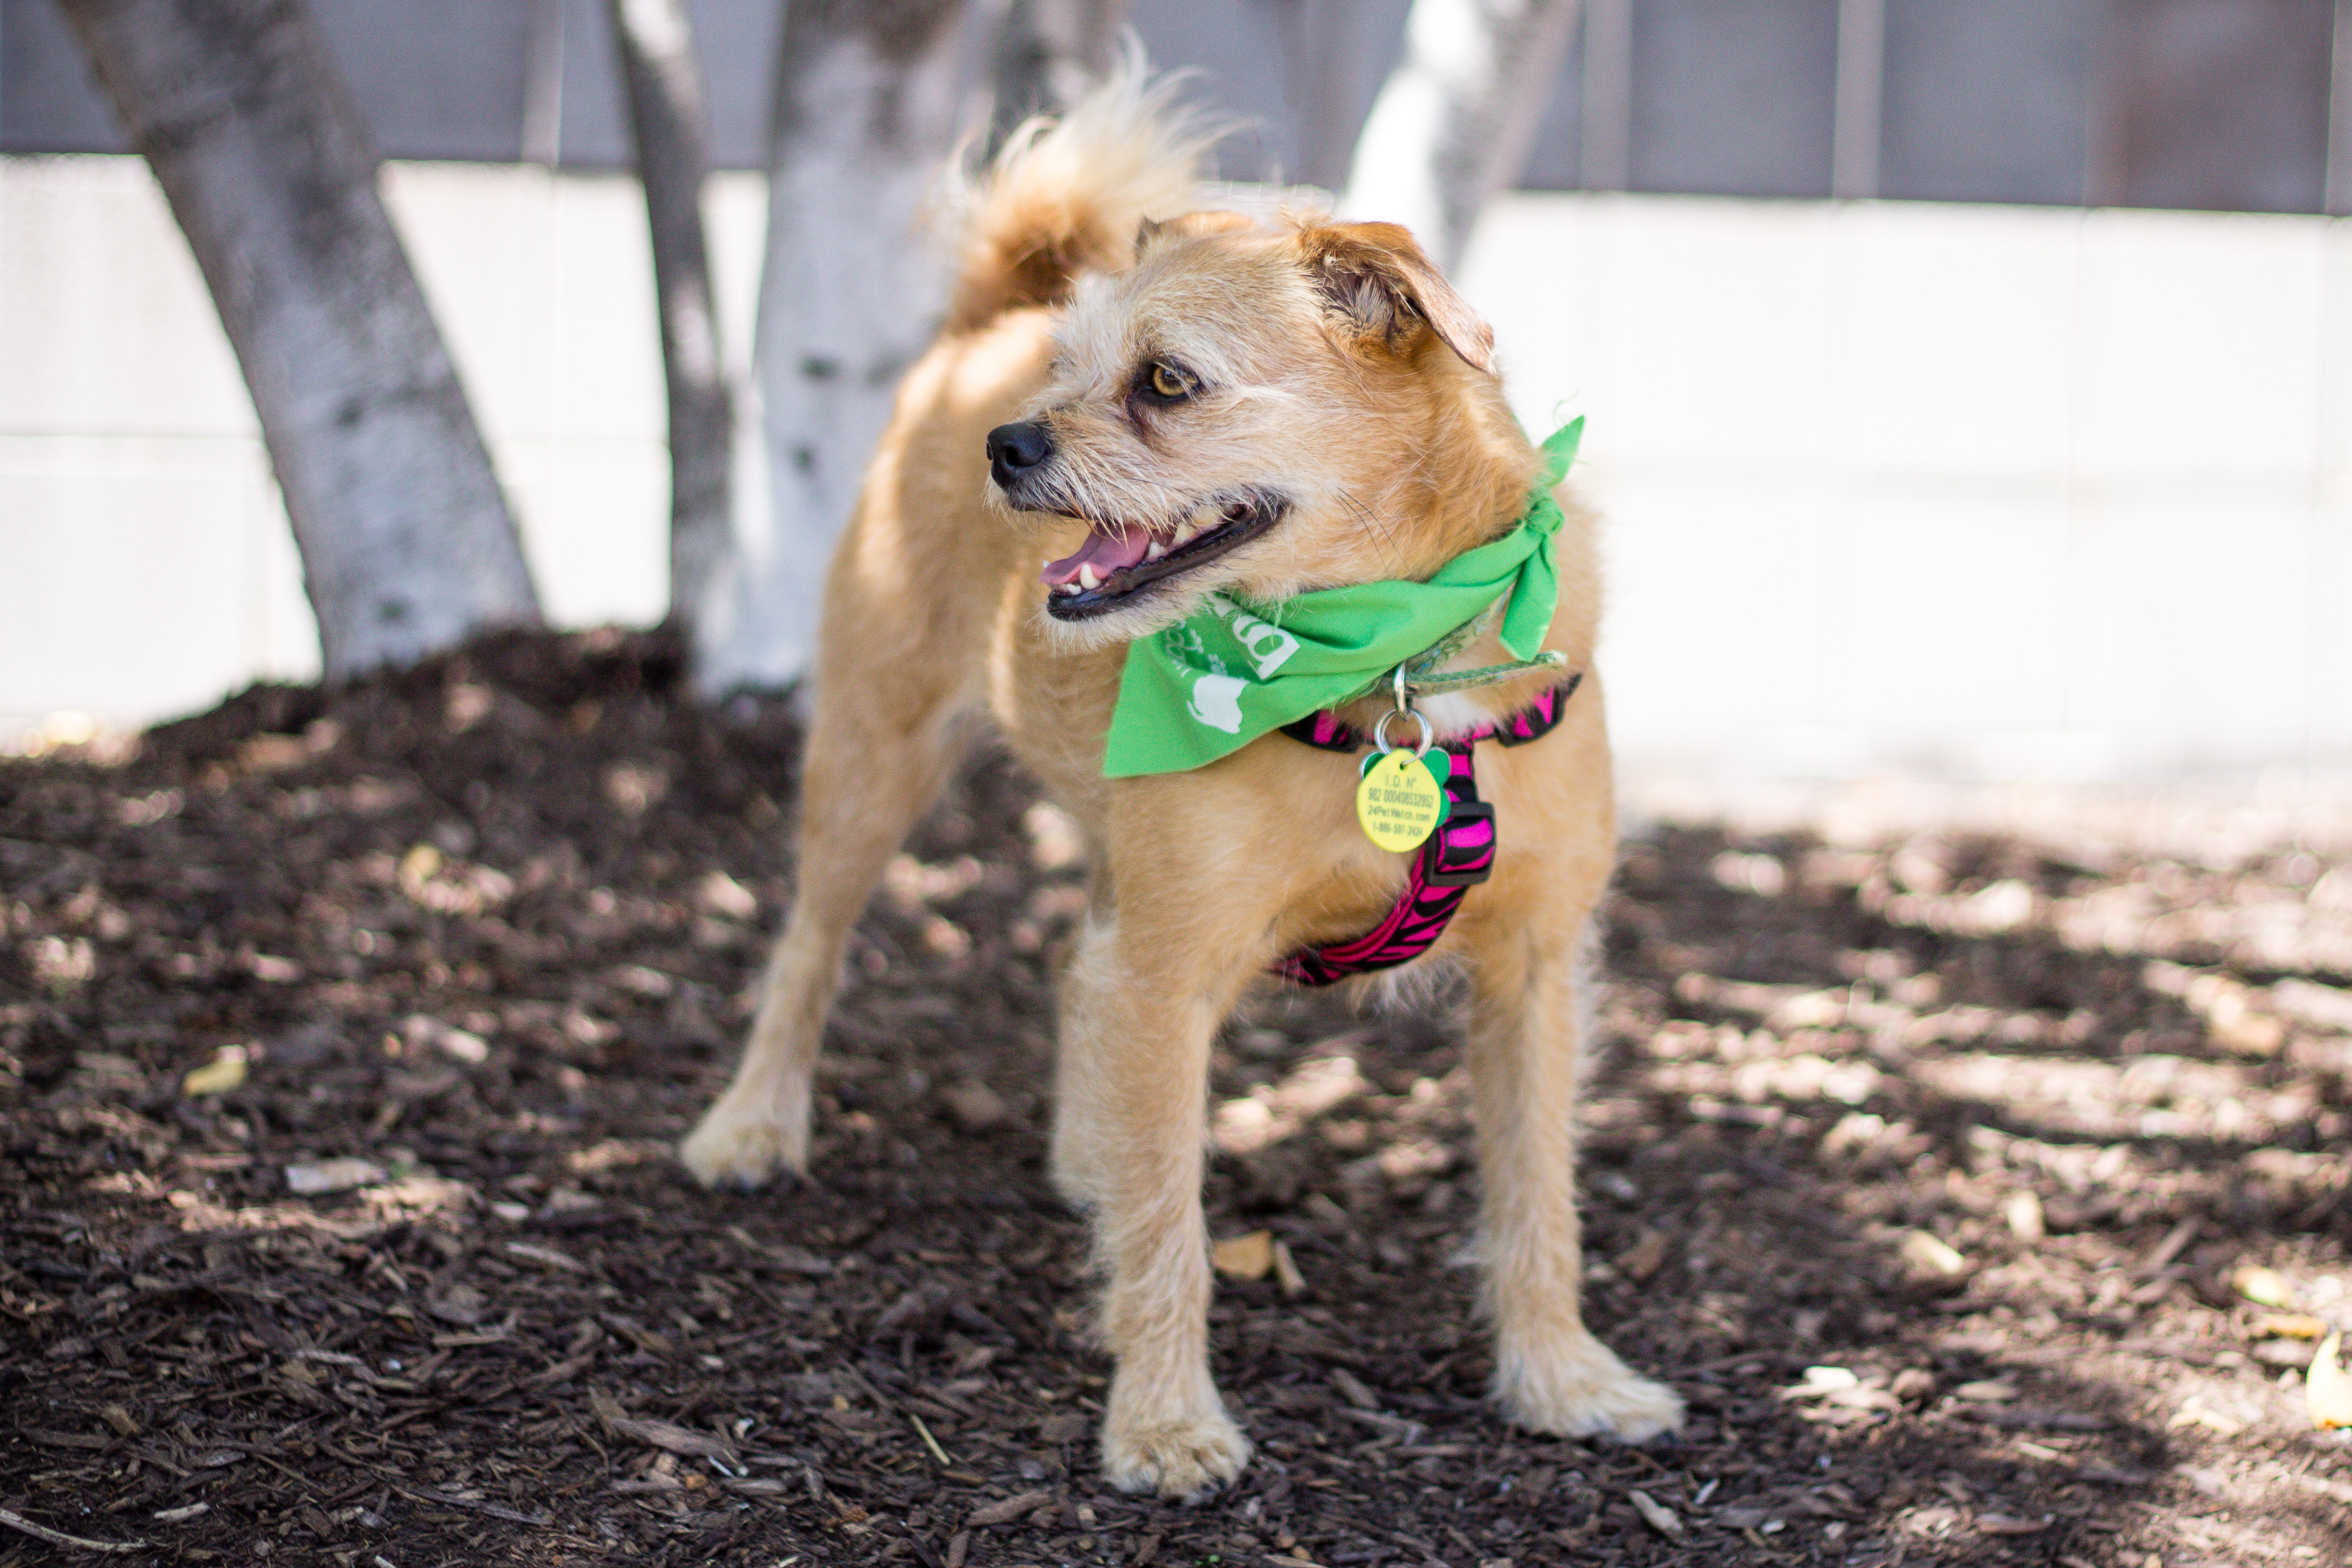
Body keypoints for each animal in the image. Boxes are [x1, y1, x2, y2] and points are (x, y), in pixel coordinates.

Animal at [682, 70, 1693, 1495]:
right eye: (1069, 372)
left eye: (1165, 381)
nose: (1005, 444)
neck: (1386, 668)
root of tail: (984, 326)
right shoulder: (1171, 977)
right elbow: (1170, 1223)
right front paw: (1162, 1421)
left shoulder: (1535, 972)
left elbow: (1536, 1193)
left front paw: (1559, 1377)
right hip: (873, 754)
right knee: (809, 947)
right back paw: (753, 1126)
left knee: (1072, 962)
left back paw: (1078, 1154)